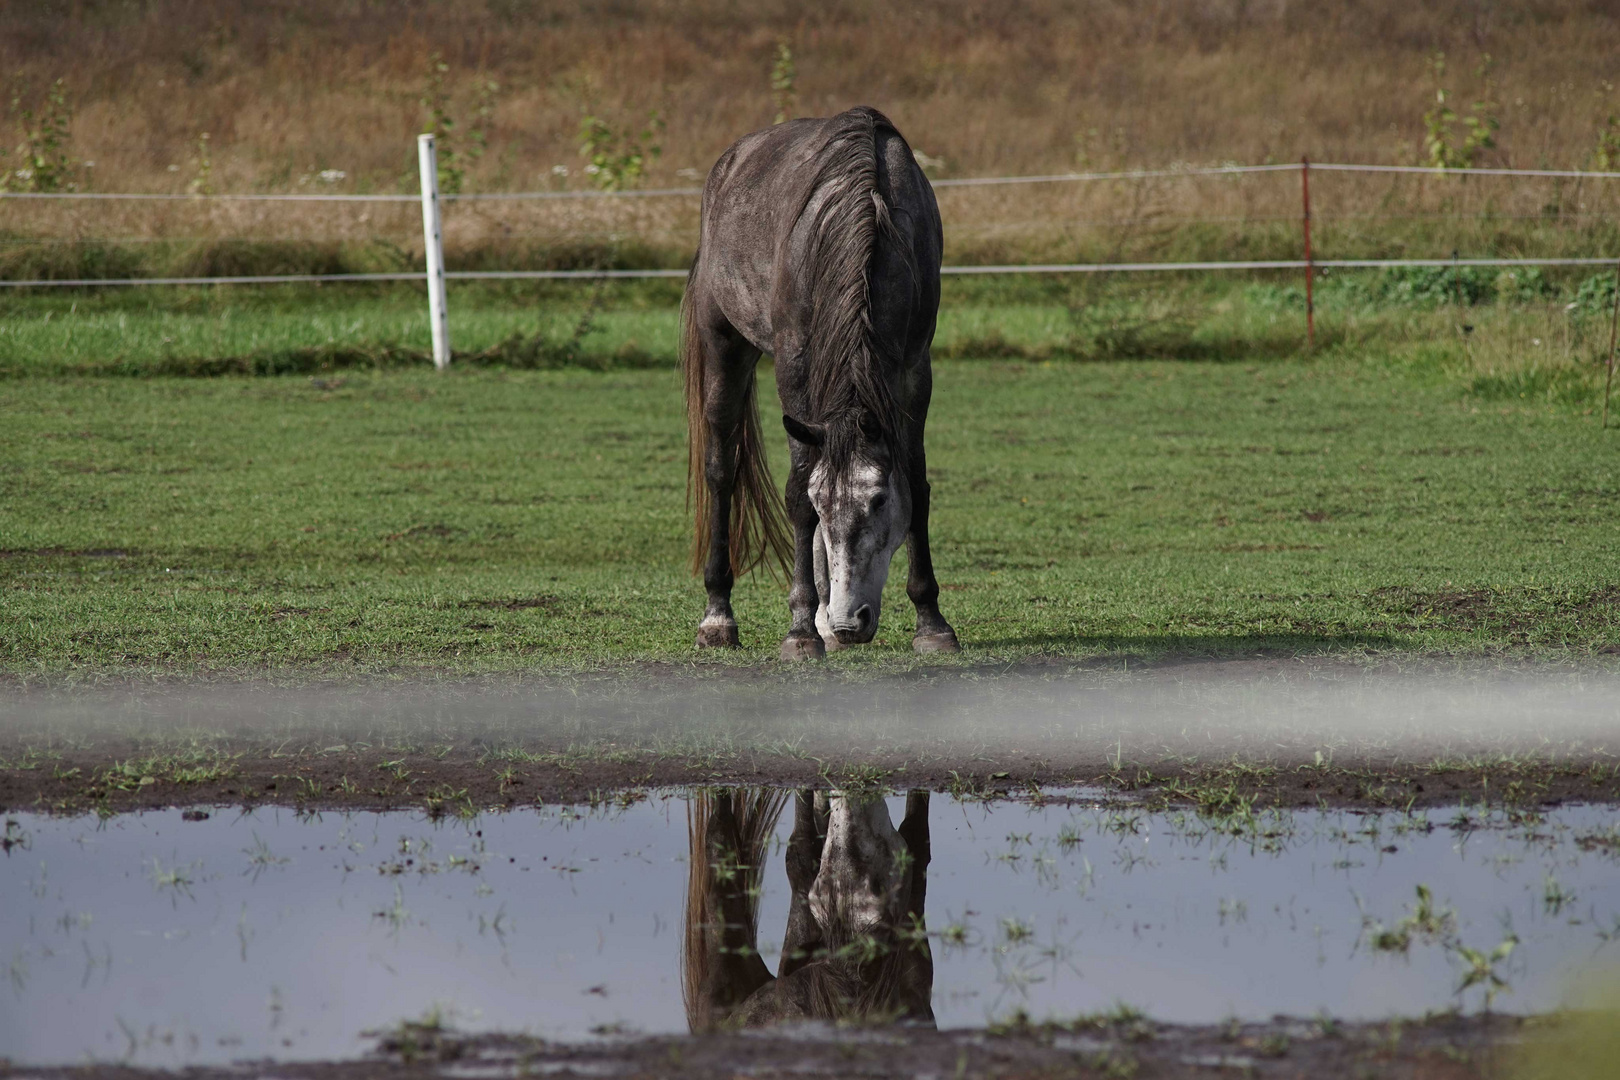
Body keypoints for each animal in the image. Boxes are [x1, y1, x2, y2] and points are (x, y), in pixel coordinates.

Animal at [683, 107, 959, 660]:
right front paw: (800, 630)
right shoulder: (794, 365)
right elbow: (796, 492)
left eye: (878, 500)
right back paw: (719, 617)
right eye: (821, 504)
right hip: (725, 345)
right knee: (721, 470)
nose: (852, 622)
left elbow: (917, 481)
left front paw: (931, 622)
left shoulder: (915, 369)